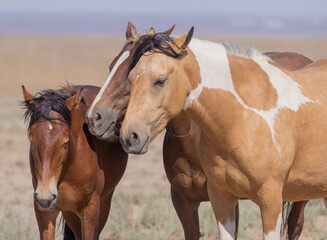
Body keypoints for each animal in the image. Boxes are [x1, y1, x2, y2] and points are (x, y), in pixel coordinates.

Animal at [22, 85, 128, 239]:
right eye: (32, 141)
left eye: (65, 143)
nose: (45, 198)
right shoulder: (44, 212)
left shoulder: (91, 209)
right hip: (69, 212)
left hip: (103, 202)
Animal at [86, 22, 316, 238]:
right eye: (111, 66)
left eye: (128, 73)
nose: (94, 117)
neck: (193, 143)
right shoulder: (184, 202)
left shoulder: (229, 199)